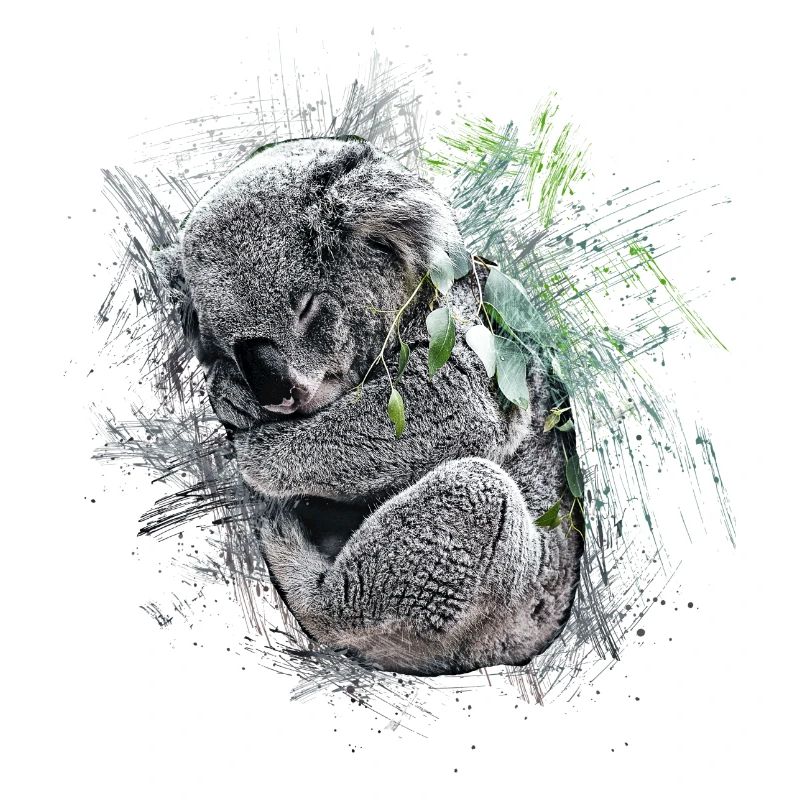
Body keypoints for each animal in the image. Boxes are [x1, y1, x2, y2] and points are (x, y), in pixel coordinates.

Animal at [154, 136, 583, 676]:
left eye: (307, 307)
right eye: (229, 344)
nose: (280, 393)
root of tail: (522, 646)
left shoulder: (459, 332)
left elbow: (463, 403)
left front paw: (254, 452)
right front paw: (229, 394)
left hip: (506, 584)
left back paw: (291, 555)